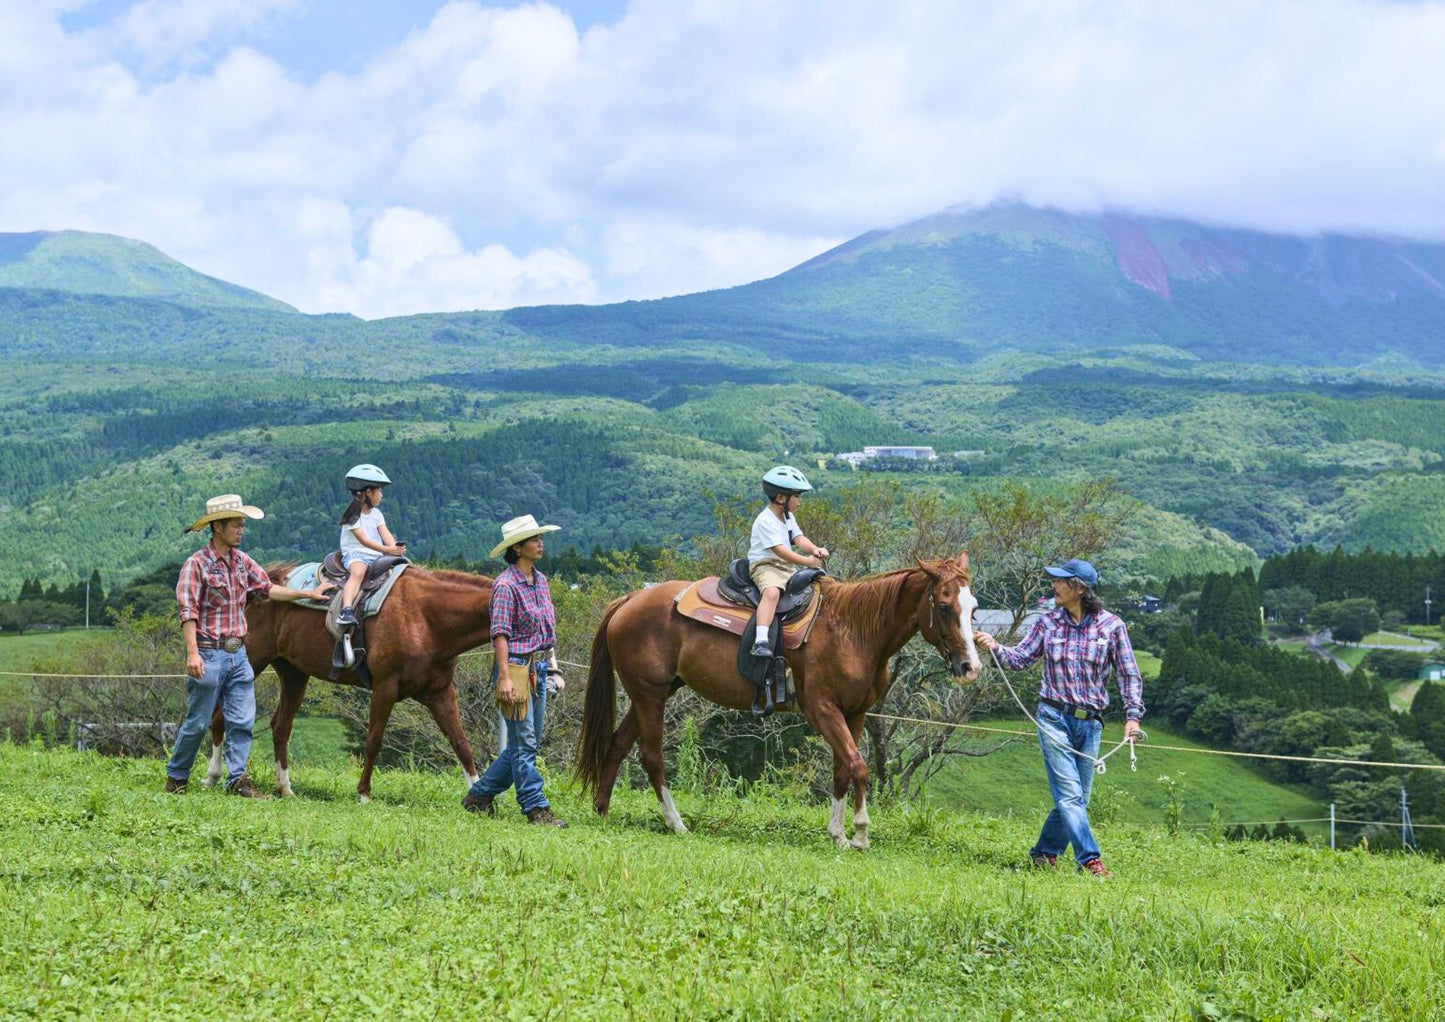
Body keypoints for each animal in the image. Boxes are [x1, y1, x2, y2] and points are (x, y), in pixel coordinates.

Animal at [203, 563, 497, 803]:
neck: (424, 618)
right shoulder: (385, 688)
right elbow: (374, 740)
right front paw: (364, 793)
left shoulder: (440, 694)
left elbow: (461, 743)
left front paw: (478, 797)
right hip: (252, 662)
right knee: (218, 718)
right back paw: (214, 775)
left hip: (294, 674)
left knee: (281, 726)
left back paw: (284, 787)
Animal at [575, 555, 982, 849]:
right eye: (944, 606)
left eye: (974, 608)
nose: (970, 666)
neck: (853, 629)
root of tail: (630, 599)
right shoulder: (822, 710)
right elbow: (858, 766)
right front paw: (861, 833)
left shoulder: (854, 713)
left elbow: (843, 770)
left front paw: (838, 834)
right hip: (649, 696)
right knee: (652, 757)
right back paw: (676, 823)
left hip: (652, 695)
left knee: (618, 744)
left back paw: (601, 809)